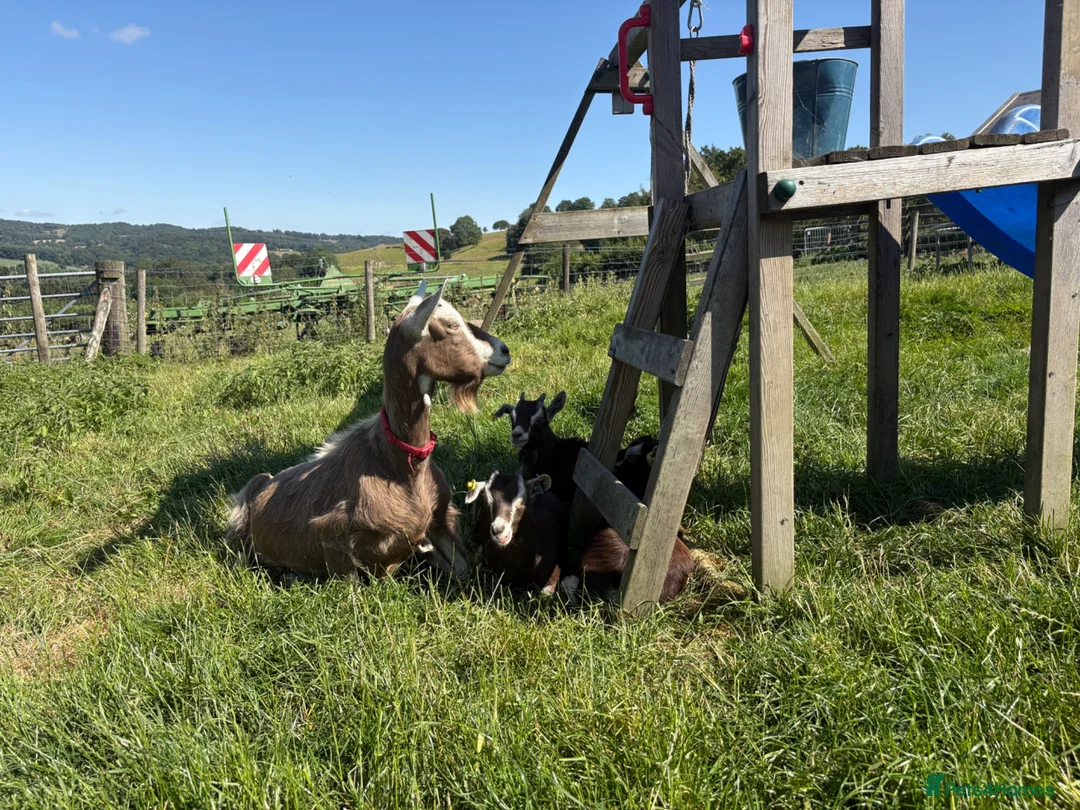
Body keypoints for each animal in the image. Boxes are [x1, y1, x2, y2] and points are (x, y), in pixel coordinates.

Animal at [226, 279, 510, 579]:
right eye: (451, 325)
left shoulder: (440, 523)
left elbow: (465, 570)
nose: (504, 350)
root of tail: (263, 483)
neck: (400, 465)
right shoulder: (333, 540)